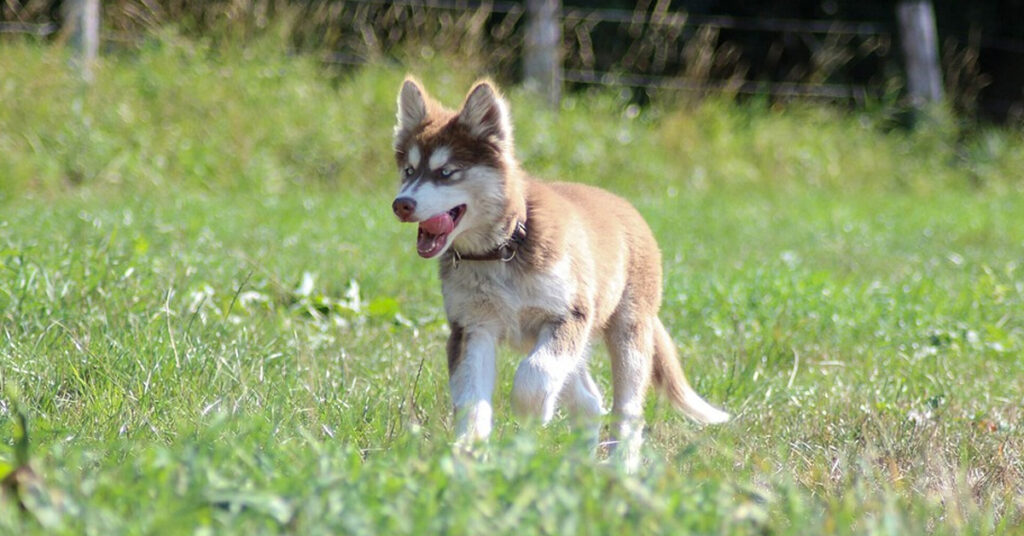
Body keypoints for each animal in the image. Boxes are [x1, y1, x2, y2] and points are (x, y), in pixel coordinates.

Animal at [389, 76, 729, 469]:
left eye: (446, 172)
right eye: (409, 171)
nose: (401, 204)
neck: (501, 253)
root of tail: (626, 207)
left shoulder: (567, 315)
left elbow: (532, 376)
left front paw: (531, 416)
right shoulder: (472, 327)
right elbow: (472, 401)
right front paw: (468, 457)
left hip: (628, 333)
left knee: (626, 409)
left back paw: (622, 466)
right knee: (591, 402)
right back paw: (577, 465)